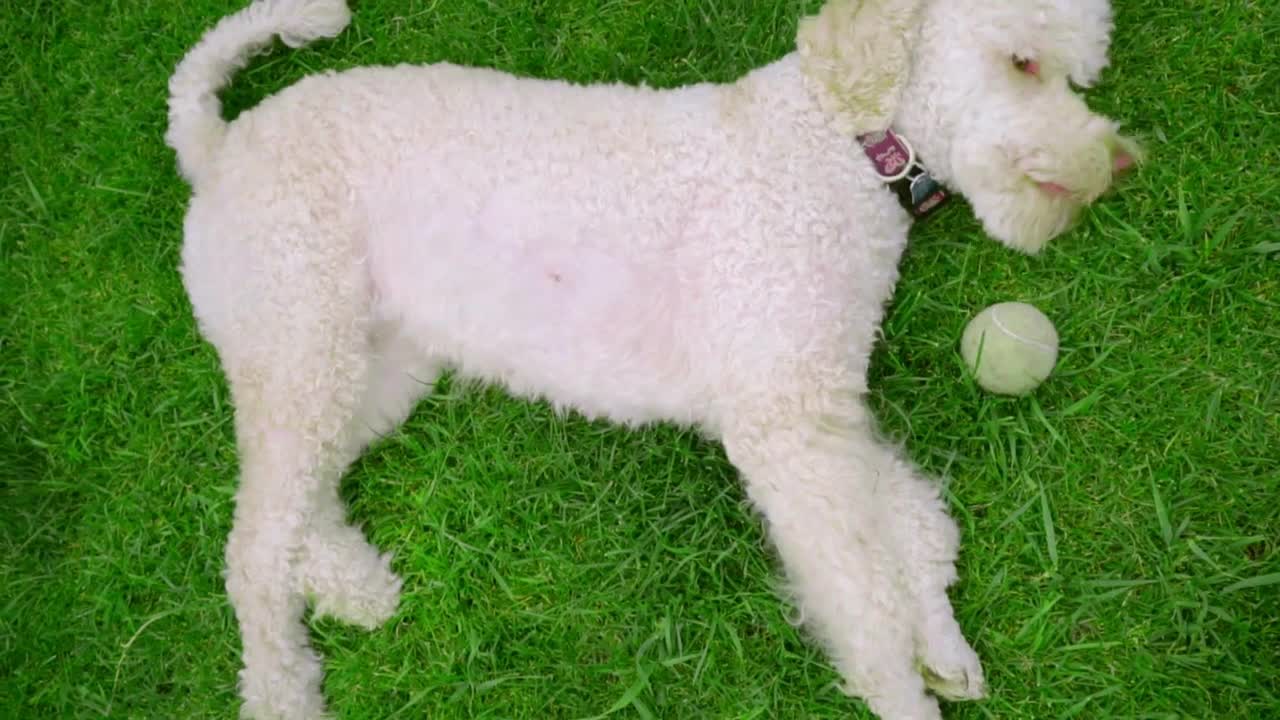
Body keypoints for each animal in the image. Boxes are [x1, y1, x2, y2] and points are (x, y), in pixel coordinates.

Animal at [165, 2, 1136, 712]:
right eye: (1022, 62)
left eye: (1079, 73)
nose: (1119, 163)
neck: (834, 146)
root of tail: (215, 146)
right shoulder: (786, 418)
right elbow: (858, 586)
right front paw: (903, 691)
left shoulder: (820, 397)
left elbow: (910, 525)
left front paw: (943, 646)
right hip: (299, 338)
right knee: (251, 547)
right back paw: (285, 689)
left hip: (375, 362)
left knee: (297, 503)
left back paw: (352, 585)